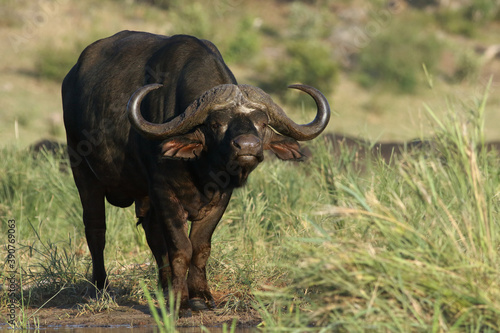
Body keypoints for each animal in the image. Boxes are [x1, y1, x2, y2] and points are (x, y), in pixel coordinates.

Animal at [60, 30, 330, 312]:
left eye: (263, 123)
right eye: (215, 124)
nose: (247, 146)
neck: (201, 170)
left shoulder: (220, 198)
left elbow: (200, 247)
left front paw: (200, 296)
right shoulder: (165, 193)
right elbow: (181, 248)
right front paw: (179, 300)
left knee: (152, 235)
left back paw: (162, 288)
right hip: (83, 173)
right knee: (96, 230)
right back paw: (101, 287)